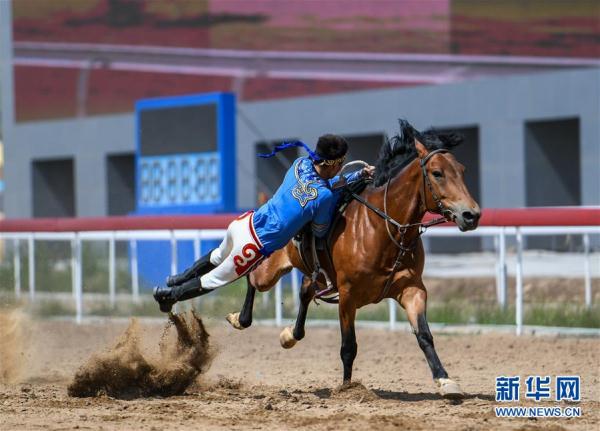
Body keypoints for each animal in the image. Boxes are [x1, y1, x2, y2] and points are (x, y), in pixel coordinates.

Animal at [227, 120, 480, 398]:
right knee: (253, 277)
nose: (471, 215)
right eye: (437, 173)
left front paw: (445, 380)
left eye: (461, 170)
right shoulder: (347, 296)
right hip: (271, 269)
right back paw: (240, 319)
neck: (381, 228)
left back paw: (290, 335)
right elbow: (349, 346)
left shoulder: (412, 288)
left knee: (304, 291)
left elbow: (424, 335)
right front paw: (348, 388)